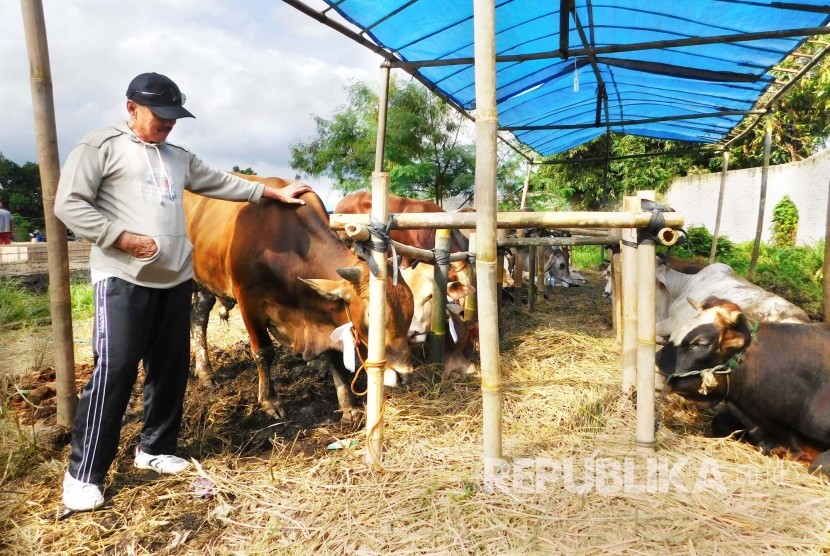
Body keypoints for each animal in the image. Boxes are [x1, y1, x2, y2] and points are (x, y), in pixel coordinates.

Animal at [184, 176, 414, 424]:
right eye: (371, 314)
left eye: (410, 310)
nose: (404, 375)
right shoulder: (249, 303)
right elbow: (263, 352)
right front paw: (270, 401)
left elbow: (333, 356)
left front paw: (348, 405)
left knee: (198, 318)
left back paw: (205, 372)